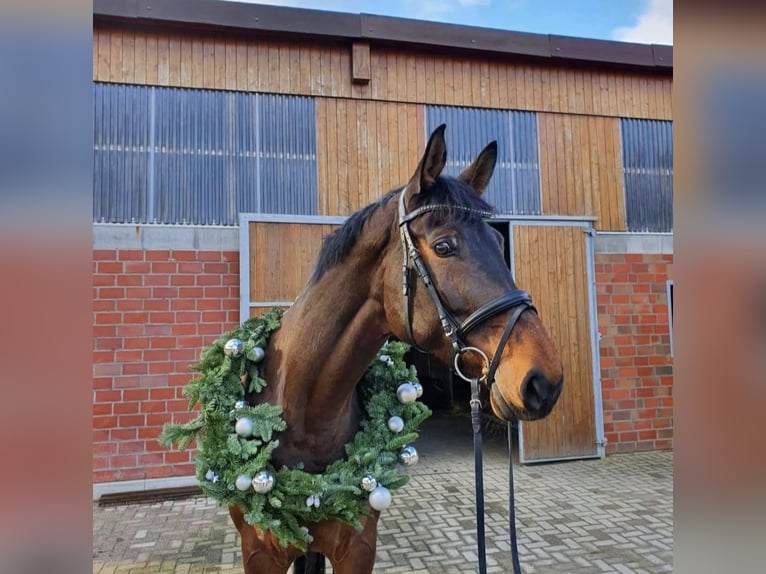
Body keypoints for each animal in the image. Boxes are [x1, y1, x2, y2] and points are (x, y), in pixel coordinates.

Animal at [229, 124, 564, 573]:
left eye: (498, 240)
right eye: (444, 246)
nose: (544, 380)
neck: (303, 413)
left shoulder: (357, 547)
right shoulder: (260, 553)